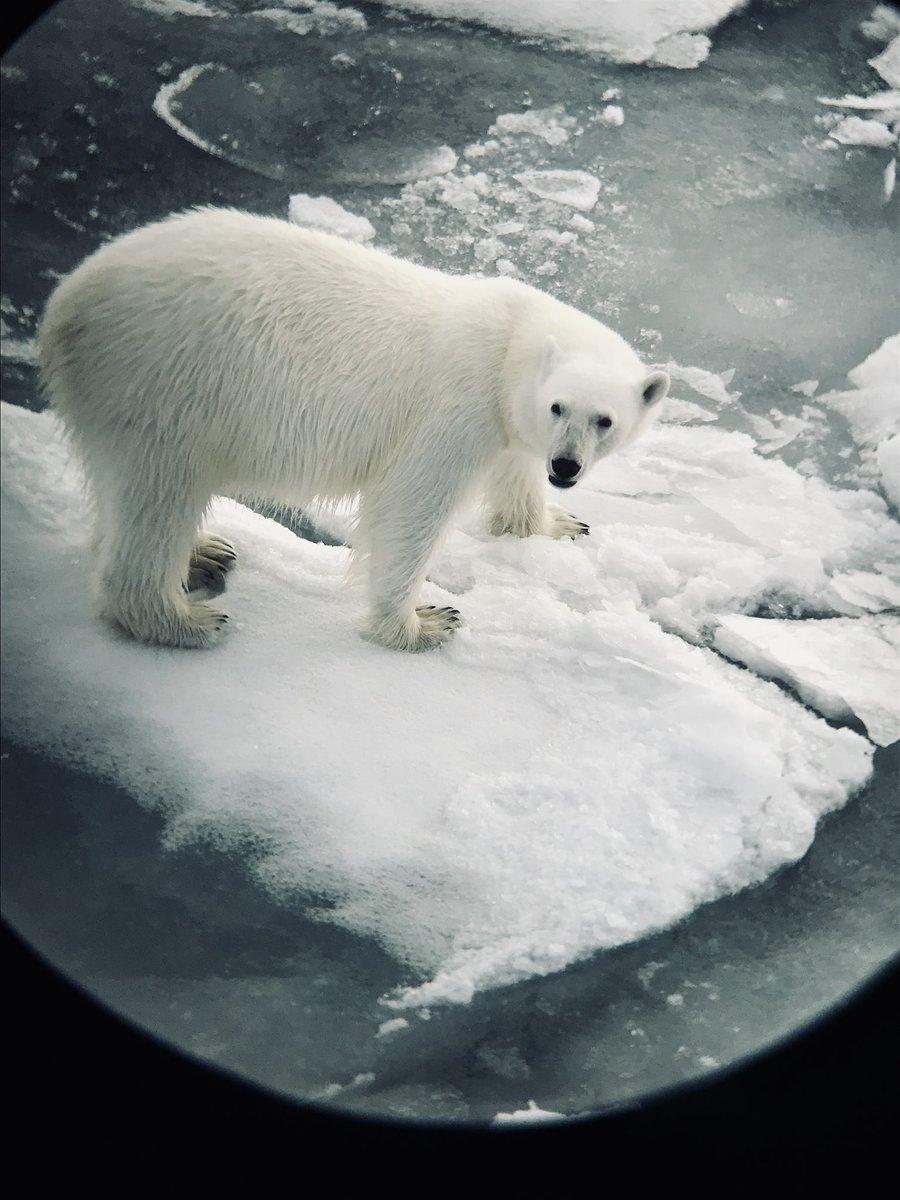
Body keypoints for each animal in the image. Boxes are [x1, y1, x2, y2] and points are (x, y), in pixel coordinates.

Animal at [37, 211, 672, 652]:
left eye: (604, 419)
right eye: (560, 407)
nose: (565, 467)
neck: (510, 341)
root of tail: (65, 304)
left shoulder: (505, 419)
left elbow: (514, 473)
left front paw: (558, 523)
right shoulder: (453, 408)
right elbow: (409, 507)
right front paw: (422, 624)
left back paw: (202, 554)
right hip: (164, 384)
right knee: (160, 491)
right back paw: (186, 620)